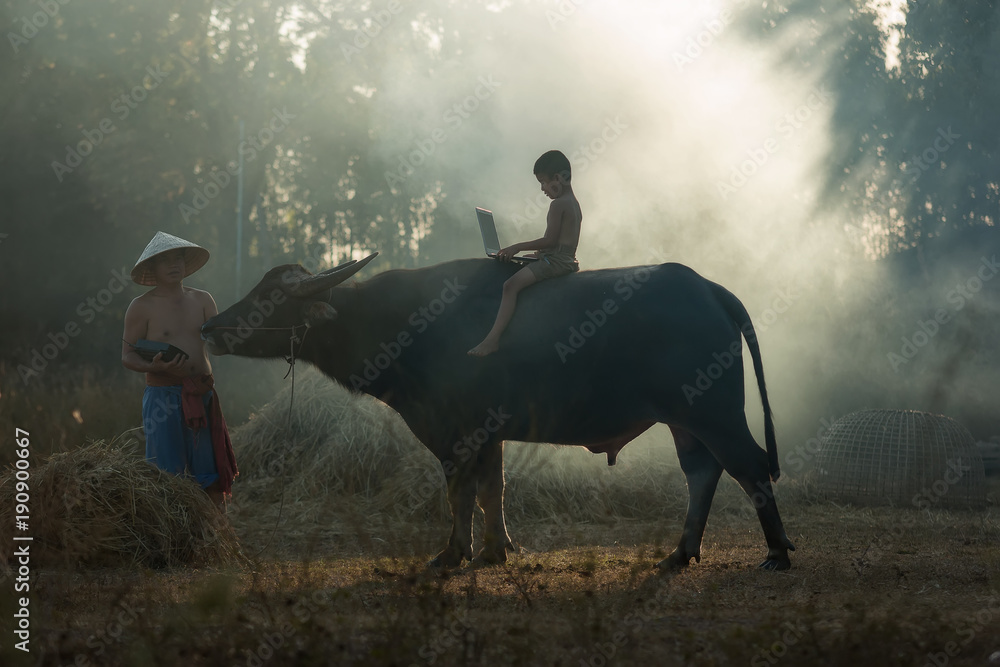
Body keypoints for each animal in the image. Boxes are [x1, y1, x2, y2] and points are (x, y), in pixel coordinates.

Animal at [203, 253, 796, 572]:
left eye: (269, 299)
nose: (210, 326)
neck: (406, 323)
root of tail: (708, 289)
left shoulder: (453, 430)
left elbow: (459, 491)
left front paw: (452, 554)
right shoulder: (490, 433)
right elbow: (494, 488)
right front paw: (495, 550)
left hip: (713, 410)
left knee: (749, 467)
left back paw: (777, 554)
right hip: (683, 419)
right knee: (703, 472)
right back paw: (680, 552)